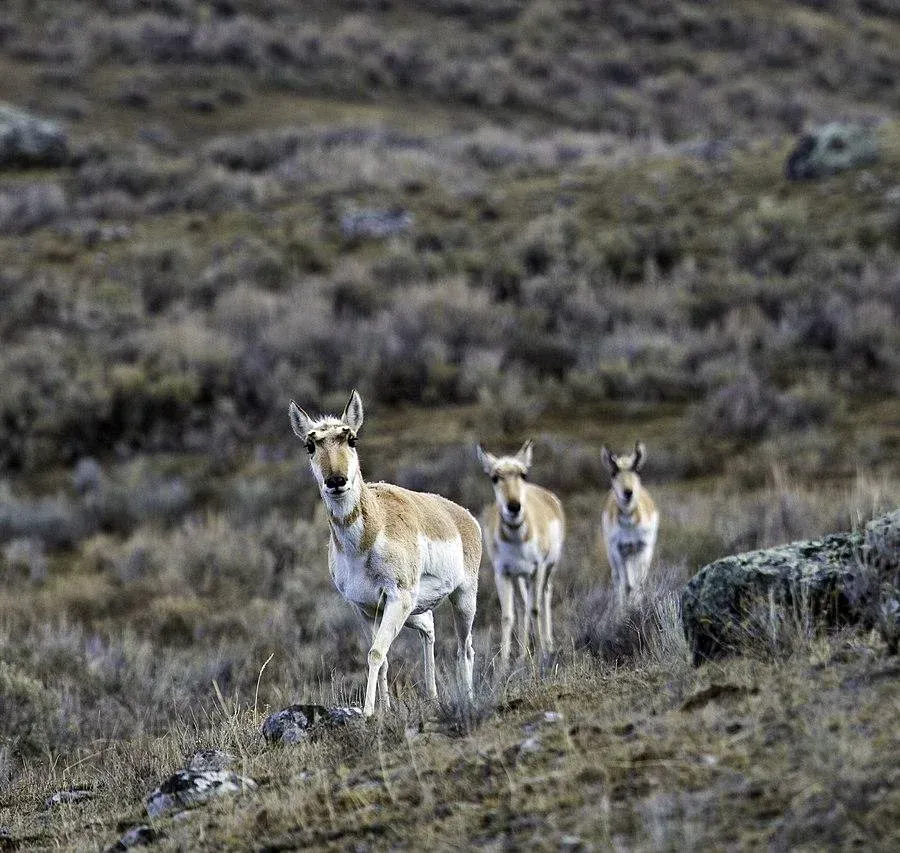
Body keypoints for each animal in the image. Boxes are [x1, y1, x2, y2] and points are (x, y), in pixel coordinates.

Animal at [289, 391, 481, 717]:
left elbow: (376, 653)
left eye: (351, 438)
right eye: (310, 445)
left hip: (461, 598)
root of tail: (462, 515)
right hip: (416, 609)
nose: (336, 480)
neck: (364, 543)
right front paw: (385, 710)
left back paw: (467, 700)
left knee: (464, 648)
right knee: (429, 628)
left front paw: (367, 712)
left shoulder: (396, 598)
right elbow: (383, 656)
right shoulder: (367, 609)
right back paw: (432, 698)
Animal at [476, 441, 565, 668]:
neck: (517, 539)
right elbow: (508, 616)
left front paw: (542, 655)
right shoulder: (503, 573)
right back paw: (523, 654)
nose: (514, 506)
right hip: (521, 576)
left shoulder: (538, 568)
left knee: (544, 597)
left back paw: (548, 645)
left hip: (548, 569)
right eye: (494, 477)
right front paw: (503, 664)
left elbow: (535, 609)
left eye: (523, 474)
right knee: (523, 605)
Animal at [600, 441, 659, 607]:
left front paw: (637, 606)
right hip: (615, 555)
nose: (628, 492)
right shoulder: (618, 550)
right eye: (614, 472)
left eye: (637, 470)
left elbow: (639, 583)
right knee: (617, 580)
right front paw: (627, 610)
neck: (630, 525)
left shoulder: (644, 548)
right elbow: (627, 585)